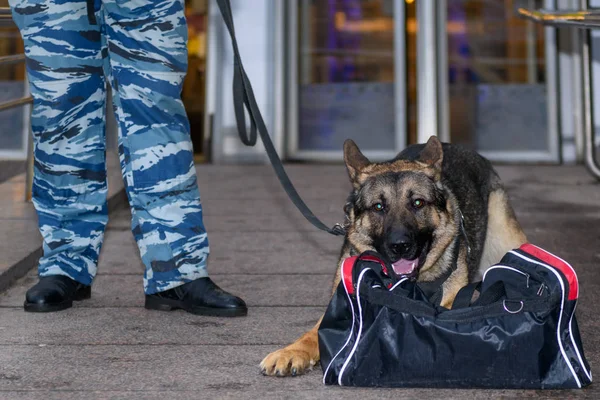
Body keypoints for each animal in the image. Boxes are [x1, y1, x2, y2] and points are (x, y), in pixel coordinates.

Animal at [260, 136, 528, 376]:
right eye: (379, 207)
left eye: (418, 203)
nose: (400, 245)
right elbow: (311, 334)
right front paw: (291, 352)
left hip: (507, 240)